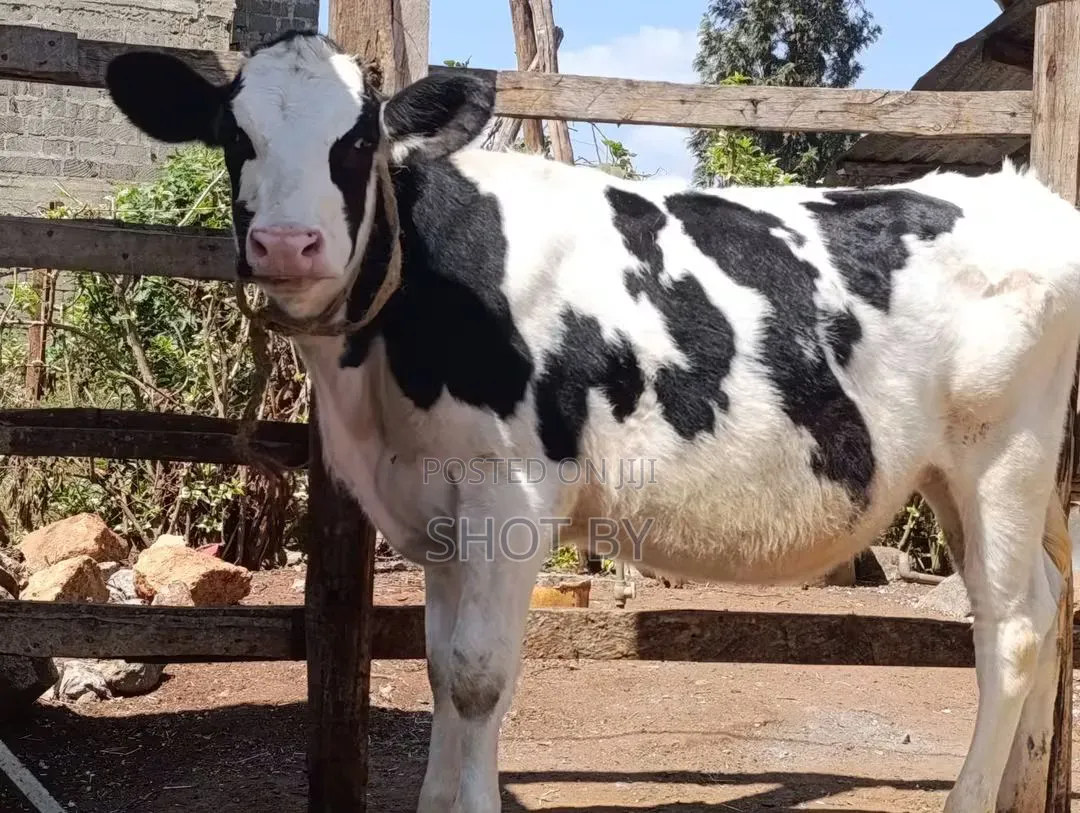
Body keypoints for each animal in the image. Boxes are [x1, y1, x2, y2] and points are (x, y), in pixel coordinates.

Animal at [104, 30, 1080, 813]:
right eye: (235, 135)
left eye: (357, 137)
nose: (287, 245)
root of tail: (1025, 192)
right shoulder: (440, 507)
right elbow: (438, 665)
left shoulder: (509, 495)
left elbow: (475, 675)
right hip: (954, 474)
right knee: (1043, 599)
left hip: (1004, 455)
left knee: (1013, 626)